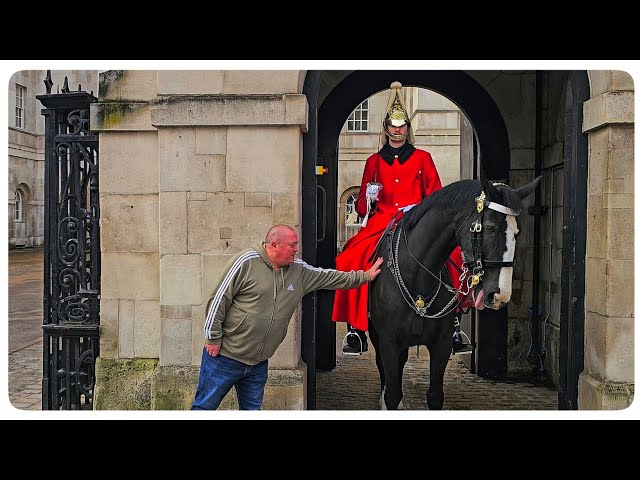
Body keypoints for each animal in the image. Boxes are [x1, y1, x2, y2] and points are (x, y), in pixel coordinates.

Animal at [370, 172, 540, 408]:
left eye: (517, 232)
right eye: (490, 228)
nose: (500, 295)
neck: (416, 277)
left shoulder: (441, 345)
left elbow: (435, 396)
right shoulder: (388, 341)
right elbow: (393, 393)